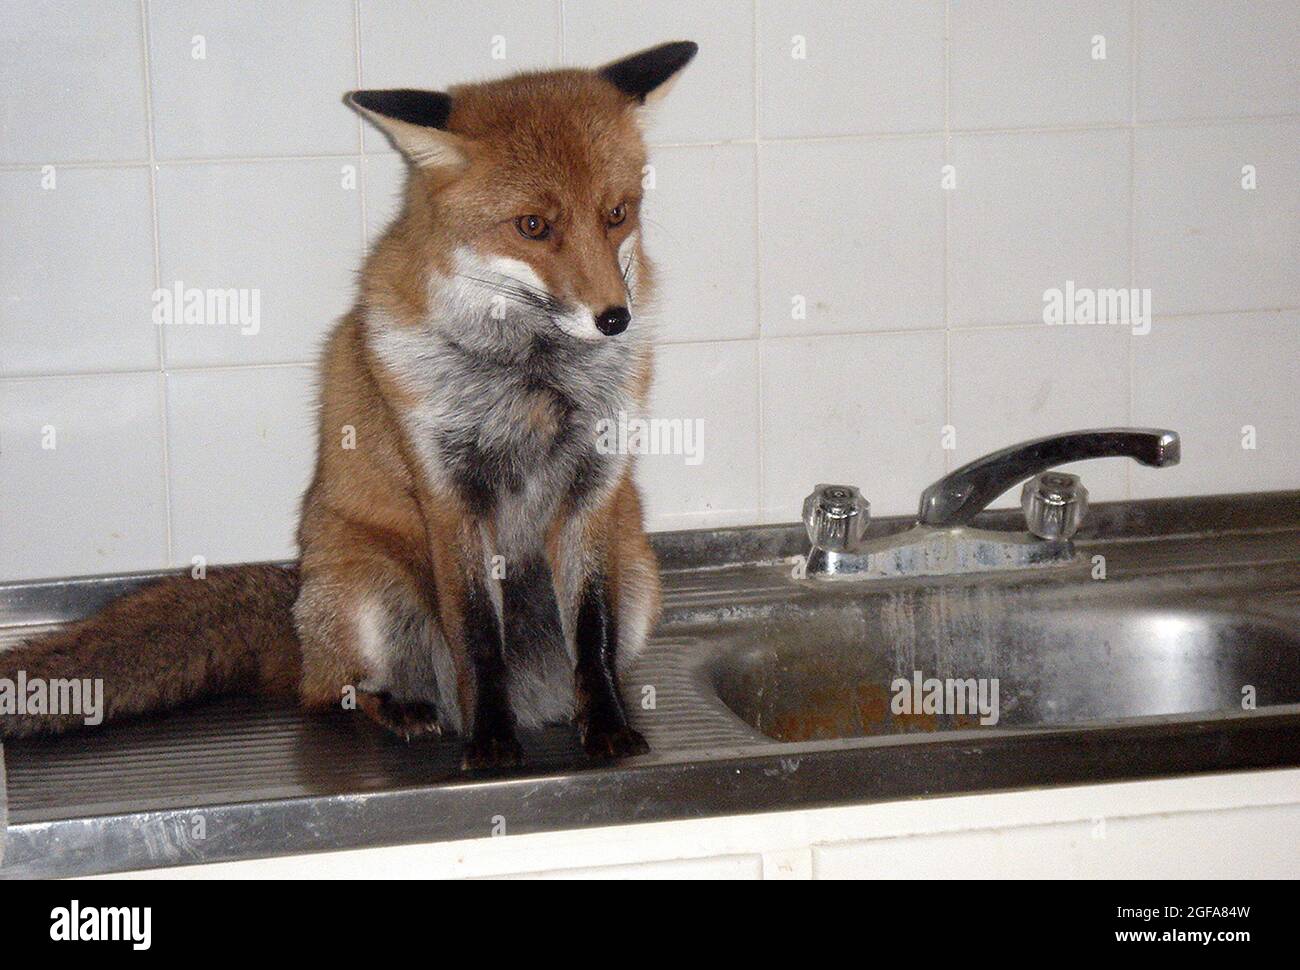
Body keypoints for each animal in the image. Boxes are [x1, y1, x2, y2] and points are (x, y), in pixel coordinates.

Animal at [2, 41, 702, 764]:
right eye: (533, 226)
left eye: (617, 213)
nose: (614, 319)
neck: (534, 380)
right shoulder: (448, 494)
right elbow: (479, 640)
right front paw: (489, 742)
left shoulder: (593, 489)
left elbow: (591, 636)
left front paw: (609, 725)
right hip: (371, 594)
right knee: (329, 692)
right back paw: (403, 709)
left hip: (640, 578)